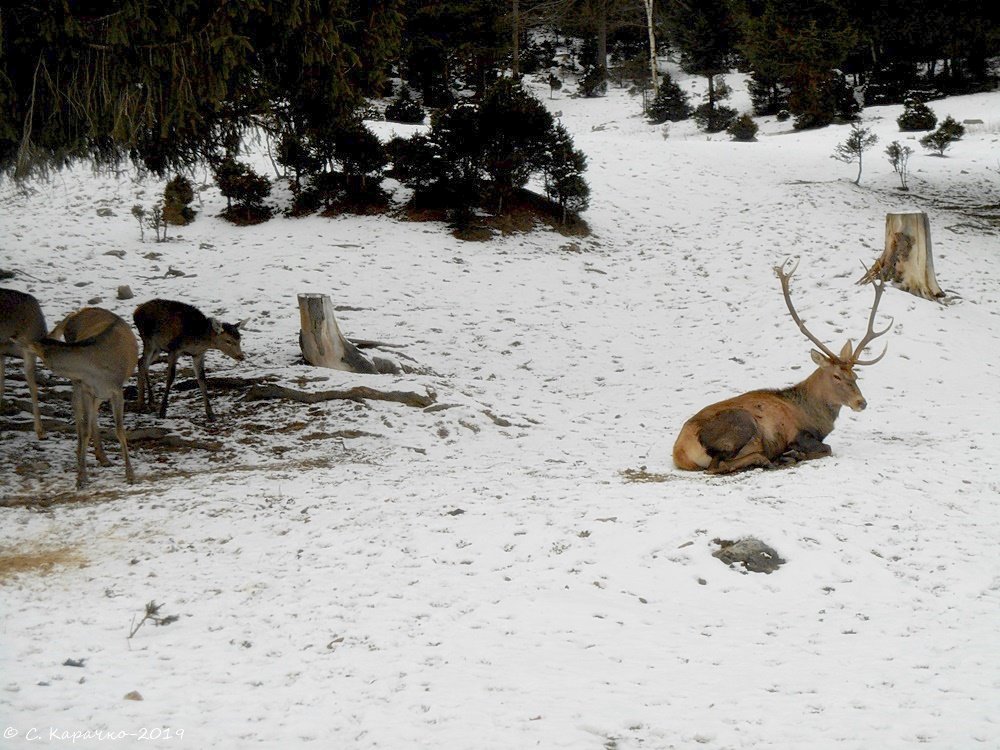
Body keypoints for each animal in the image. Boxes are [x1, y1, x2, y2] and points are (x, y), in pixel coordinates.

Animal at [31, 308, 139, 490]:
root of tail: (74, 314)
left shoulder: (117, 390)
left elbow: (119, 430)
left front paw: (130, 475)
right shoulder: (87, 388)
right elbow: (86, 428)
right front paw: (81, 477)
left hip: (94, 391)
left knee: (90, 411)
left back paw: (102, 457)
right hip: (78, 383)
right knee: (77, 409)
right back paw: (82, 454)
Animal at [672, 262, 892, 476]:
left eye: (855, 375)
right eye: (837, 376)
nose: (861, 402)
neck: (816, 417)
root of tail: (680, 452)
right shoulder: (798, 435)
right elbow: (827, 449)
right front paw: (794, 454)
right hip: (741, 423)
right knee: (716, 466)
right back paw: (768, 459)